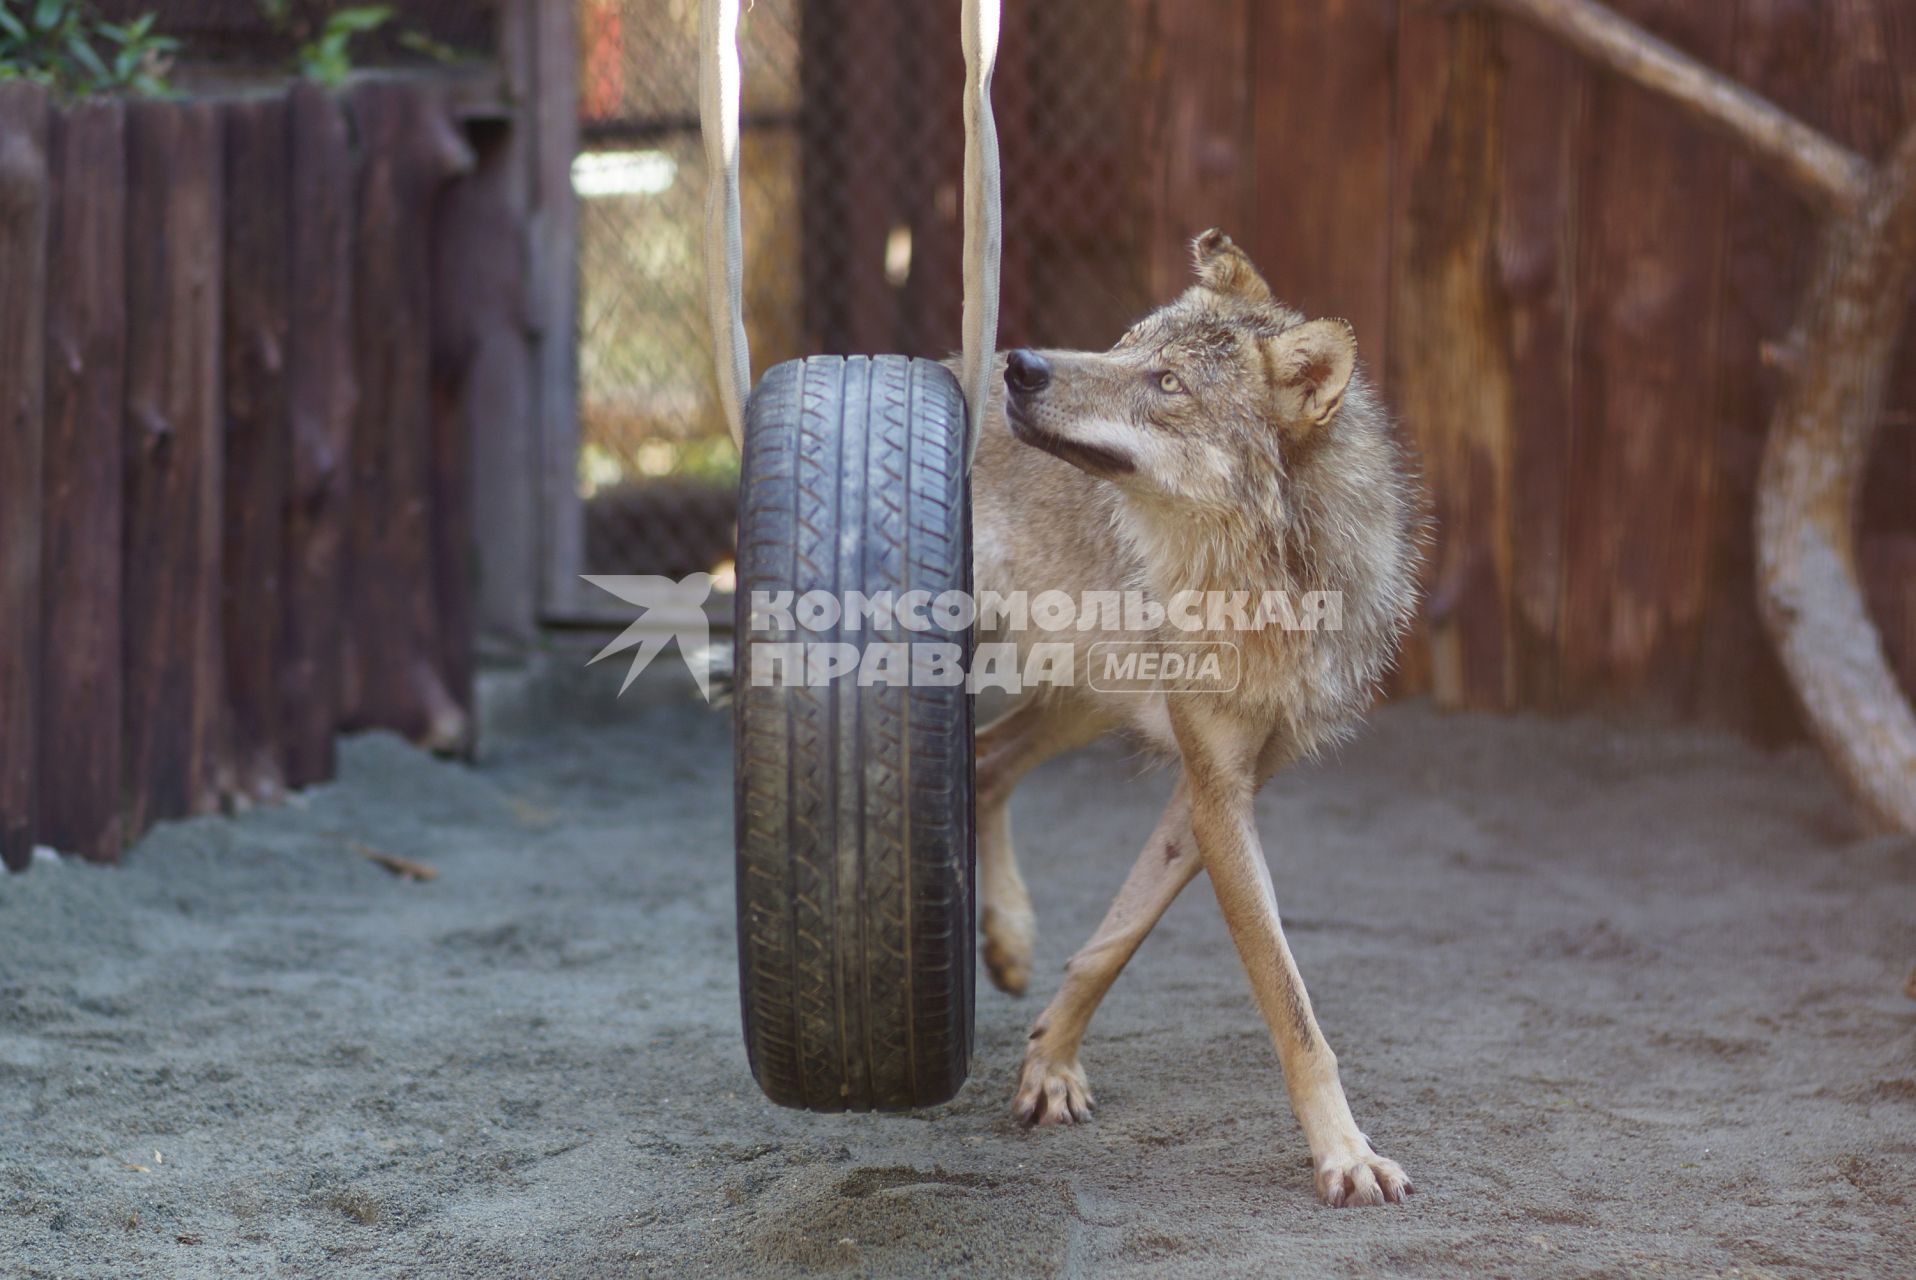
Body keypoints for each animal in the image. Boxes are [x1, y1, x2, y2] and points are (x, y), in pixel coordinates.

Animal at [973, 232, 1425, 1211]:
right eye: (1120, 345)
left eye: (1168, 383)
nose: (1019, 365)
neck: (1269, 585)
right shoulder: (1217, 790)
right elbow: (1293, 1010)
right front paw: (1345, 1154)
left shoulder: (1218, 788)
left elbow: (1112, 944)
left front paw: (1048, 1064)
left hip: (1081, 701)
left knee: (987, 762)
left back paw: (1009, 938)